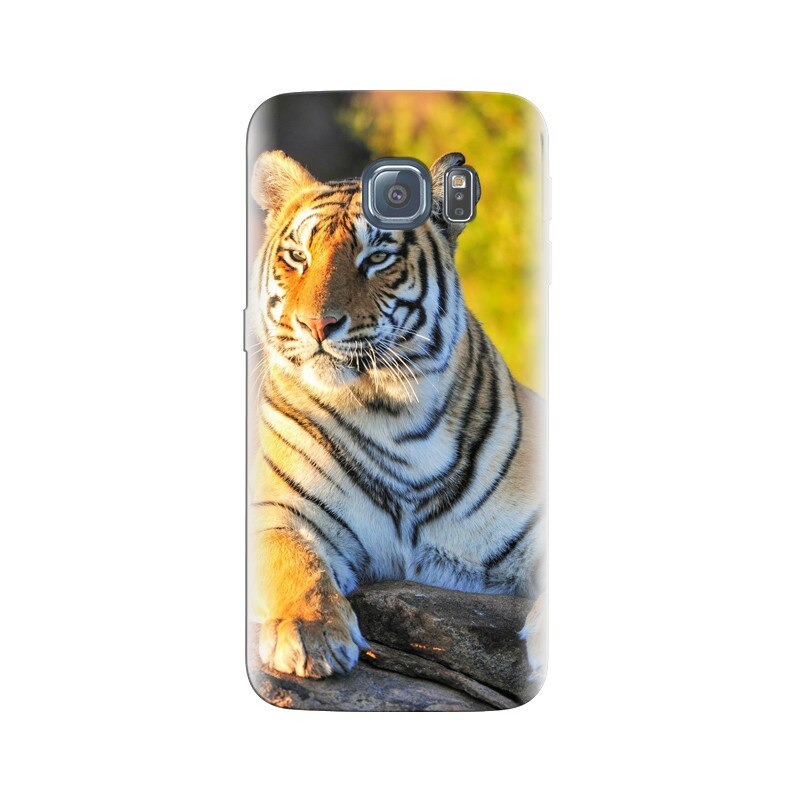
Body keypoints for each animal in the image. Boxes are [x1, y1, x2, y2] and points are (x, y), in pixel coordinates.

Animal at [248, 150, 546, 683]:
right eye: (298, 257)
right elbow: (294, 563)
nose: (316, 324)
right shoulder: (278, 513)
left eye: (376, 258)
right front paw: (309, 632)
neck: (391, 415)